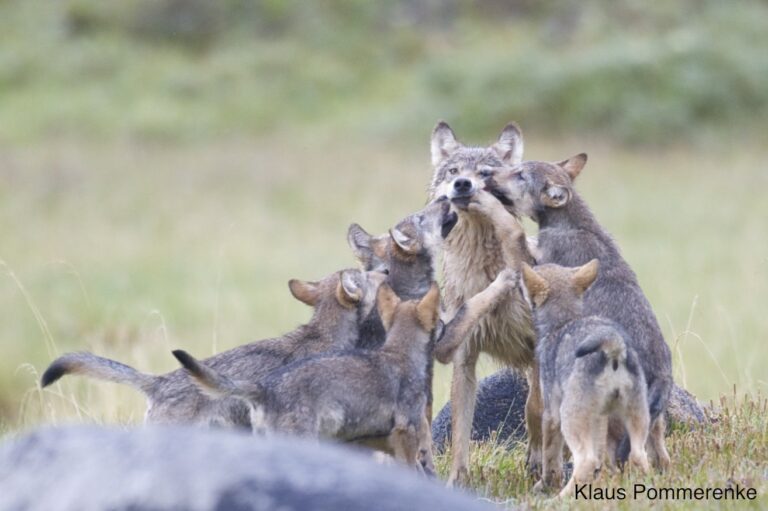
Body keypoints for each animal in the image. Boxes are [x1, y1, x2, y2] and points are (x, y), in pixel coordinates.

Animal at [427, 121, 540, 485]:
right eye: (453, 171)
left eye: (485, 173)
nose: (462, 184)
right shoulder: (463, 358)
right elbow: (460, 435)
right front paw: (456, 481)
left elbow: (534, 409)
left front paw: (537, 462)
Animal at [485, 154, 673, 470]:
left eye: (520, 174)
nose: (486, 173)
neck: (571, 223)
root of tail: (662, 372)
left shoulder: (536, 267)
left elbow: (517, 235)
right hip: (650, 424)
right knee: (658, 454)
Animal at [522, 261, 650, 497]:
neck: (563, 321)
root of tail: (613, 346)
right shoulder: (600, 417)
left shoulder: (551, 414)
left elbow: (550, 458)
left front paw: (545, 486)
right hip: (635, 421)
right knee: (639, 457)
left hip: (570, 419)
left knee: (586, 461)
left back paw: (560, 499)